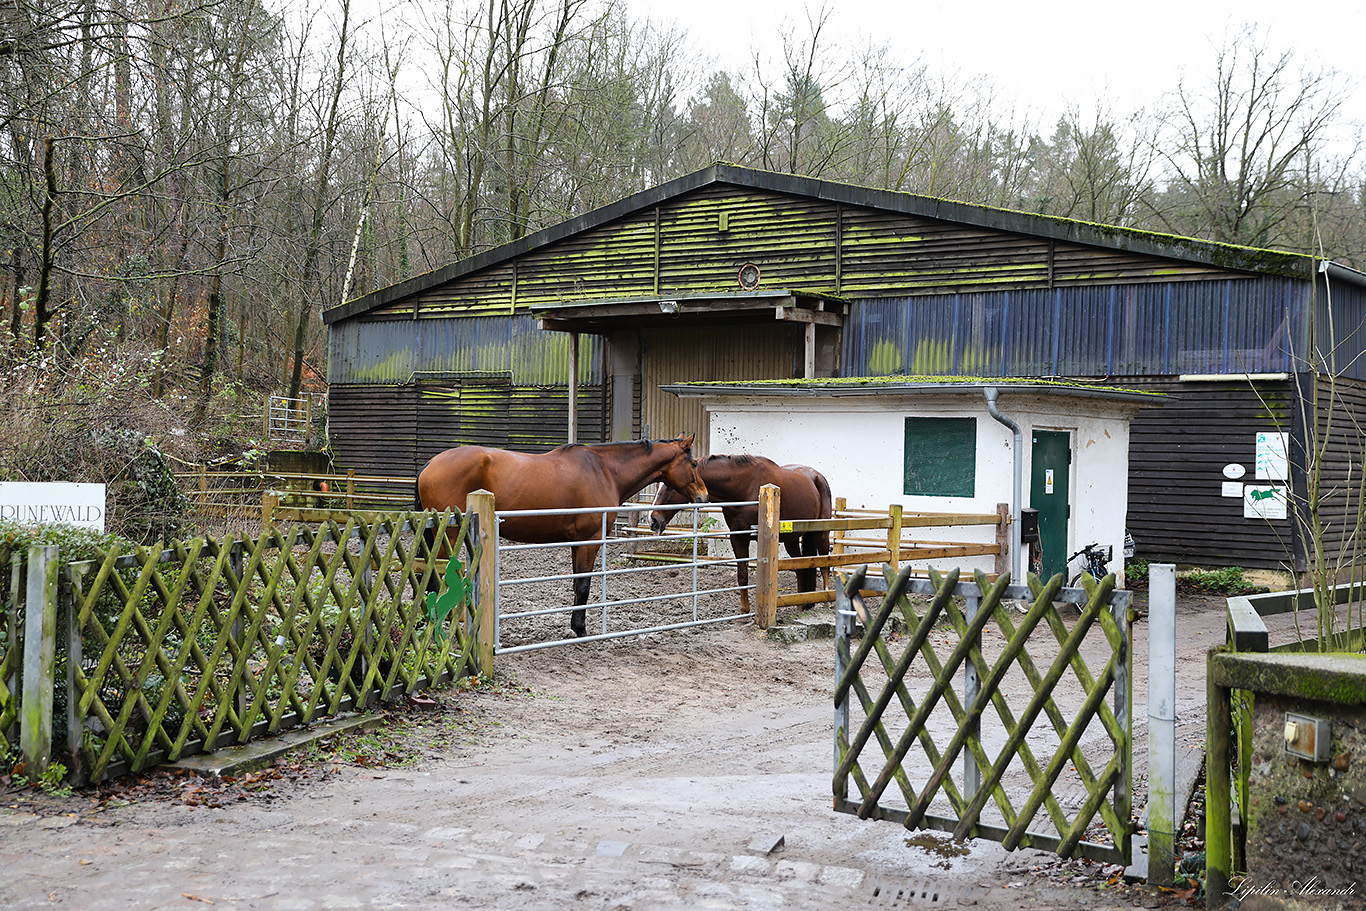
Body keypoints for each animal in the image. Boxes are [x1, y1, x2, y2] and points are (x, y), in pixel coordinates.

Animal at [417, 437, 710, 639]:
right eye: (694, 463)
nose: (704, 497)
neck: (604, 470)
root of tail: (430, 464)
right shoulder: (590, 541)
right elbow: (583, 586)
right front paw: (580, 629)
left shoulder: (576, 543)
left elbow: (576, 584)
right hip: (448, 536)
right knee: (434, 577)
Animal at [650, 453, 830, 611]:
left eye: (669, 487)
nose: (653, 519)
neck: (745, 488)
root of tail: (817, 477)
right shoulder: (738, 538)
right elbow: (742, 574)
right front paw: (744, 611)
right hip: (790, 539)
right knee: (801, 566)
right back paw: (801, 604)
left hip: (821, 534)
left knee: (825, 565)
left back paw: (826, 601)